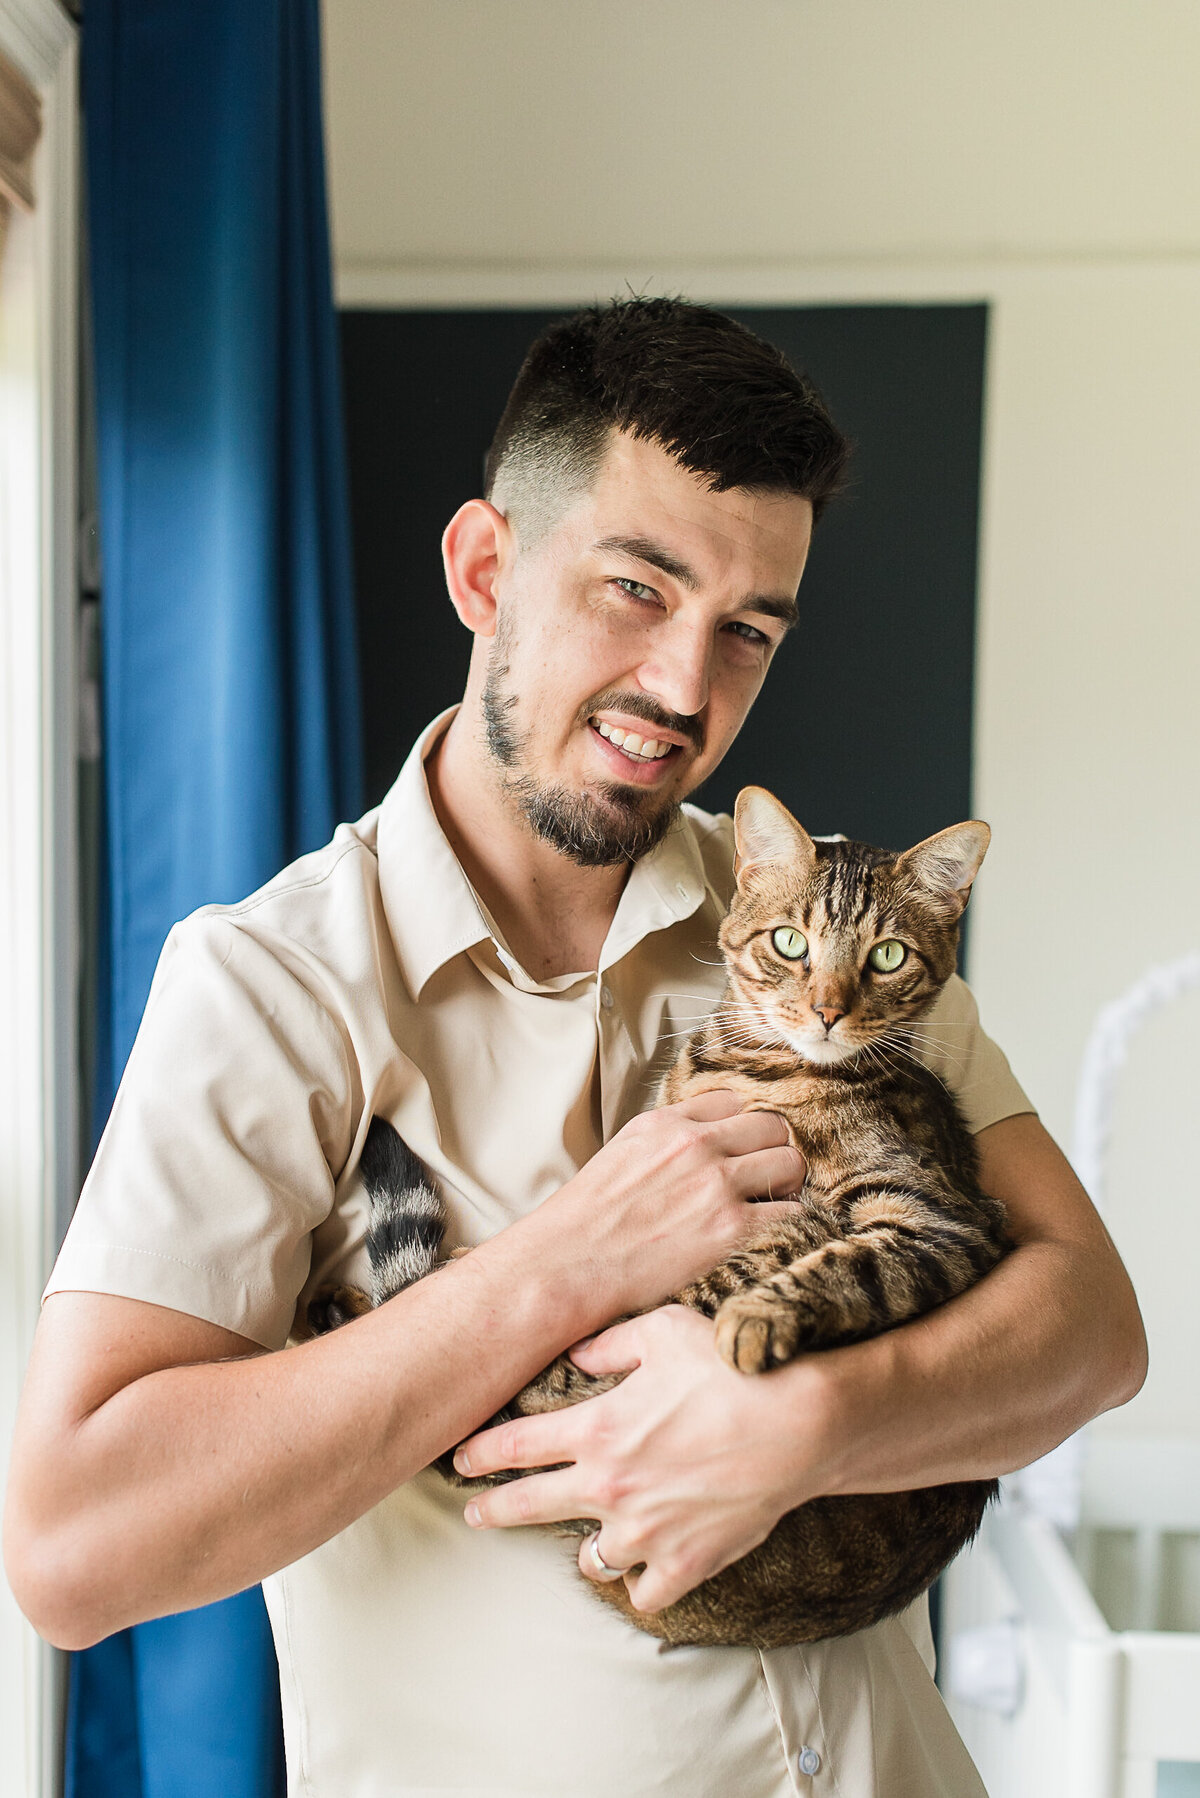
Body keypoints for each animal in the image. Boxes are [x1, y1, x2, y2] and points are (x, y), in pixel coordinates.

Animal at [314, 787, 1007, 1646]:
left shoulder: (940, 1221)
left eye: (887, 957)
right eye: (790, 943)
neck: (759, 1070)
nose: (826, 1011)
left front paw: (758, 1320)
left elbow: (852, 1266)